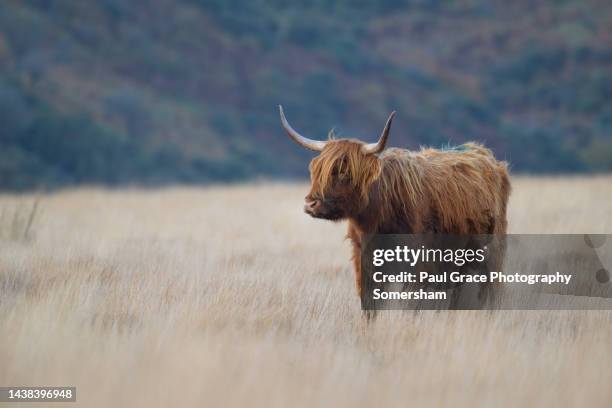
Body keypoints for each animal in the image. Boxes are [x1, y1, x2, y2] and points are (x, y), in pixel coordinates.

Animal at [280, 107, 510, 302]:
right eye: (316, 170)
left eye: (344, 171)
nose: (311, 204)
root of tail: (485, 155)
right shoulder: (364, 262)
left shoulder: (419, 263)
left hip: (493, 254)